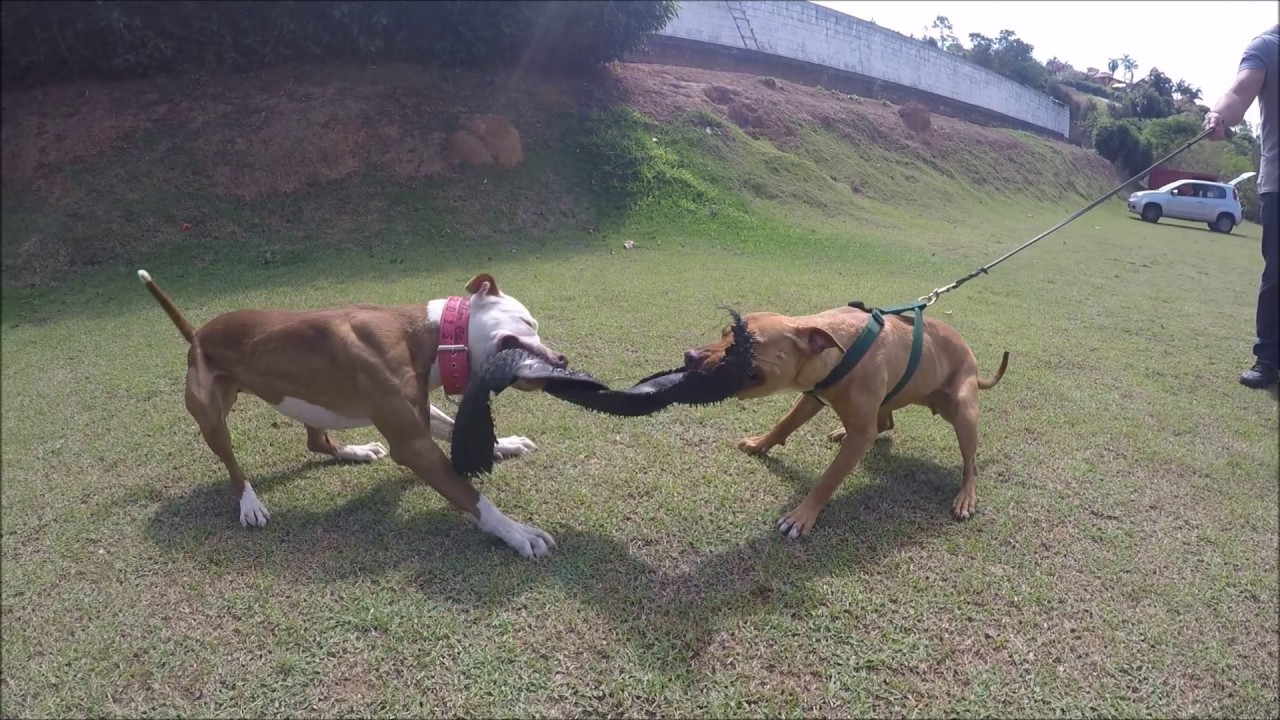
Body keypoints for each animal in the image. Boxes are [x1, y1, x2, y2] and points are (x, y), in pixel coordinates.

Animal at [135, 269, 565, 556]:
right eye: (528, 322)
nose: (562, 359)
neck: (427, 334)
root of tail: (197, 335)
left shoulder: (417, 414)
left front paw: (505, 444)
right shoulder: (412, 444)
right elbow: (474, 499)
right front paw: (516, 532)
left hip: (310, 402)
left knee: (317, 442)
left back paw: (354, 451)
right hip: (211, 417)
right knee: (233, 466)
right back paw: (250, 503)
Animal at [686, 303, 1003, 538]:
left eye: (748, 344)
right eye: (724, 332)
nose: (690, 355)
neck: (841, 349)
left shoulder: (860, 435)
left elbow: (828, 479)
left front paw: (802, 516)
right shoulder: (810, 398)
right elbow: (784, 424)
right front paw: (759, 444)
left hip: (962, 412)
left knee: (970, 463)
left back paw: (966, 496)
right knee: (886, 422)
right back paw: (842, 431)